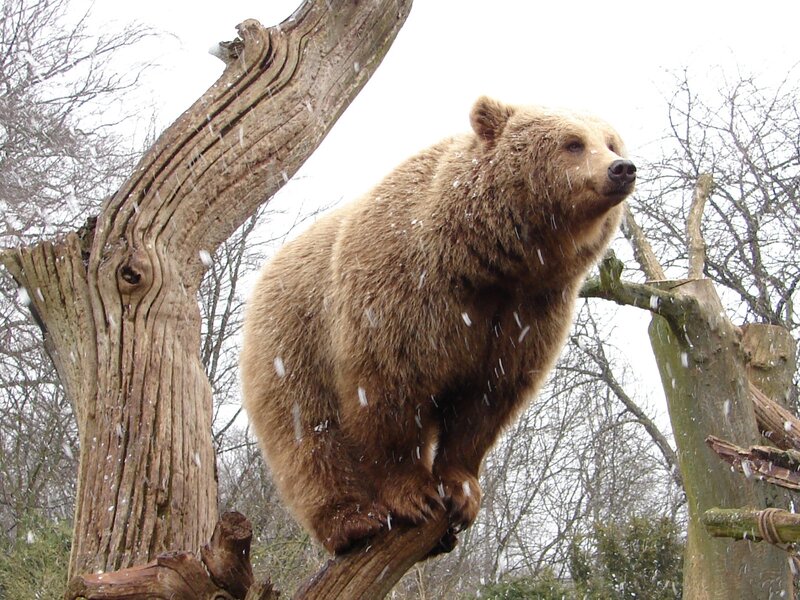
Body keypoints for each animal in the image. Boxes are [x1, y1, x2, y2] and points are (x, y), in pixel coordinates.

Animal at [240, 96, 636, 555]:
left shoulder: (528, 314)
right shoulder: (404, 295)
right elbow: (387, 389)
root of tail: (267, 271)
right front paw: (415, 495)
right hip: (293, 339)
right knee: (307, 432)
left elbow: (486, 401)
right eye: (573, 143)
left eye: (610, 140)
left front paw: (461, 489)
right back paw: (352, 519)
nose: (622, 168)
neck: (488, 263)